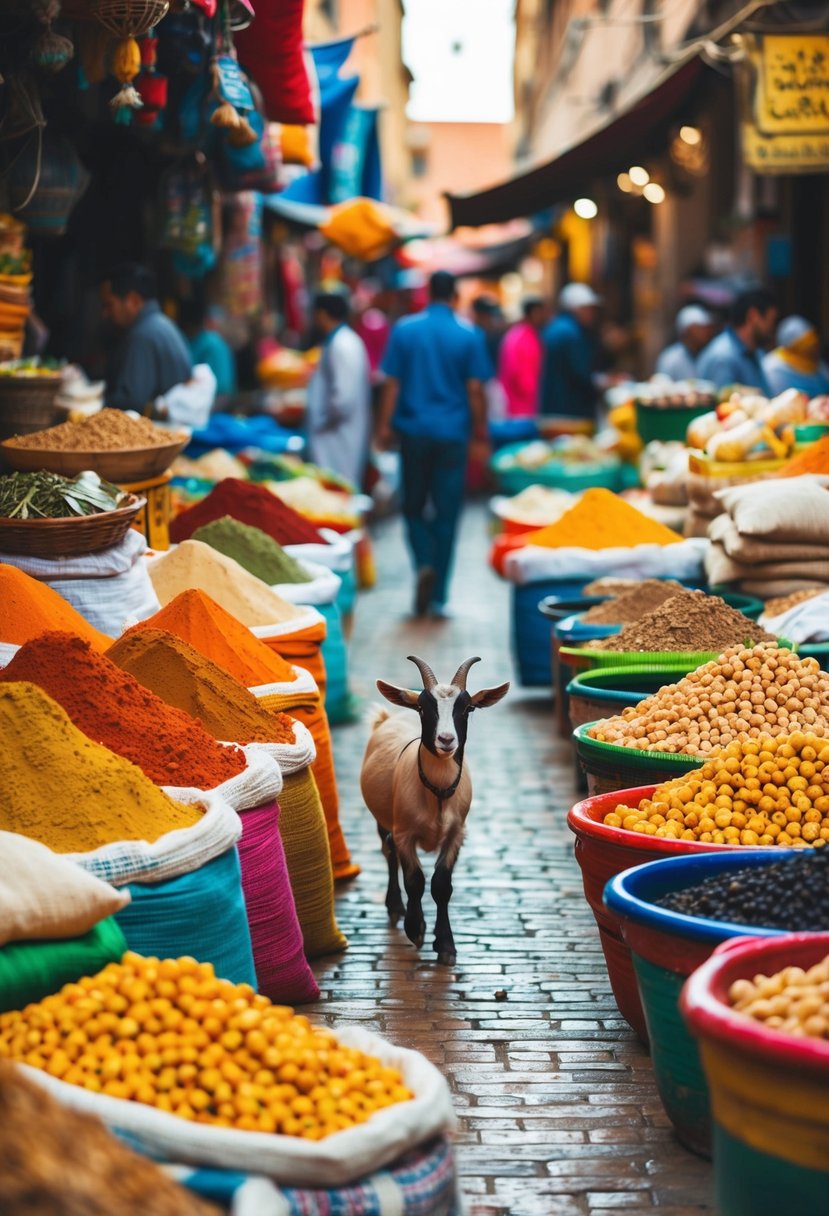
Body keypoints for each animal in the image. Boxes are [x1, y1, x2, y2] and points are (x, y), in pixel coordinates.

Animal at [362, 656, 510, 967]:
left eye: (468, 708)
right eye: (422, 707)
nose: (445, 740)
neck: (437, 795)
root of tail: (389, 717)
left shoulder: (457, 834)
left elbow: (442, 885)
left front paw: (446, 946)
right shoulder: (405, 833)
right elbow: (415, 881)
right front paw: (416, 929)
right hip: (383, 820)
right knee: (389, 853)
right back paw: (395, 907)